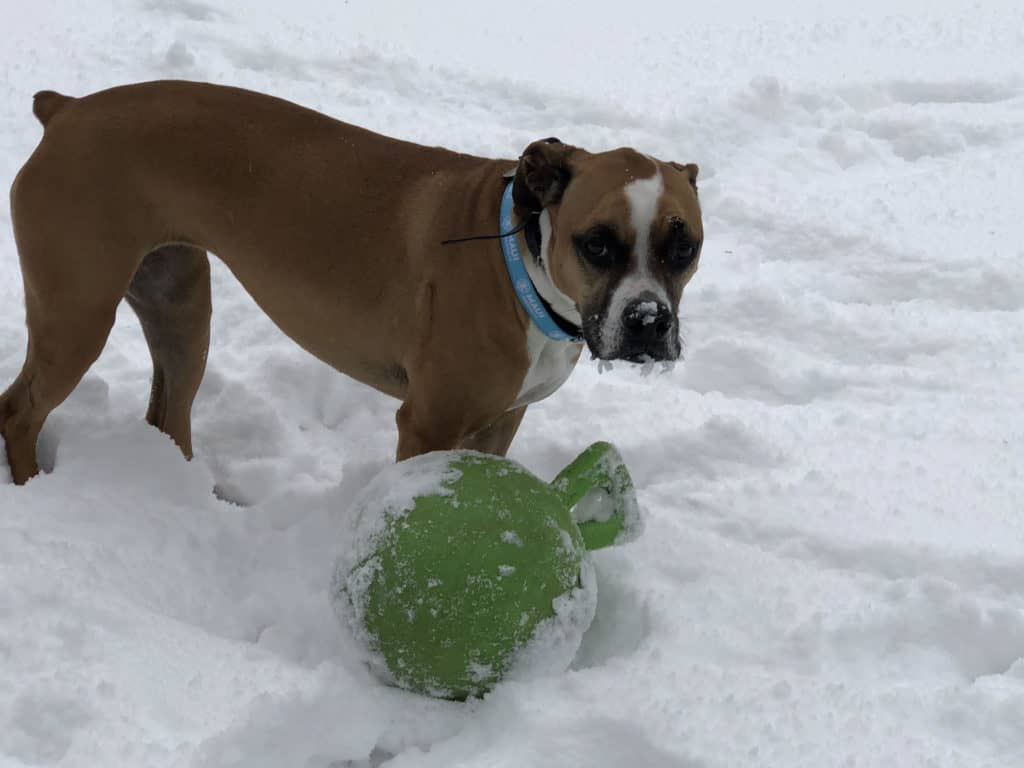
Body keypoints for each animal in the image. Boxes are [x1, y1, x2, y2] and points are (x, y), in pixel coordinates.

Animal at [0, 81, 704, 483]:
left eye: (684, 246)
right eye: (597, 243)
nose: (648, 322)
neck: (524, 265)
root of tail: (67, 112)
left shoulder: (499, 425)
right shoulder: (428, 424)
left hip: (180, 309)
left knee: (169, 411)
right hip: (78, 312)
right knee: (19, 410)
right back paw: (34, 486)